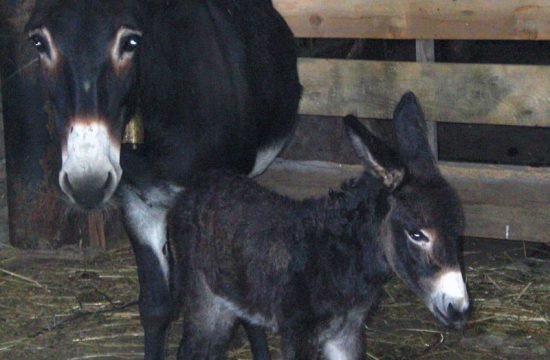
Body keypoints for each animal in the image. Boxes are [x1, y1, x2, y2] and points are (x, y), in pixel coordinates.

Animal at [168, 91, 470, 358]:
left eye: (458, 233)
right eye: (417, 234)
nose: (459, 309)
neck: (342, 257)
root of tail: (201, 183)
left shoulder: (347, 332)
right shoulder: (298, 334)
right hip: (204, 298)